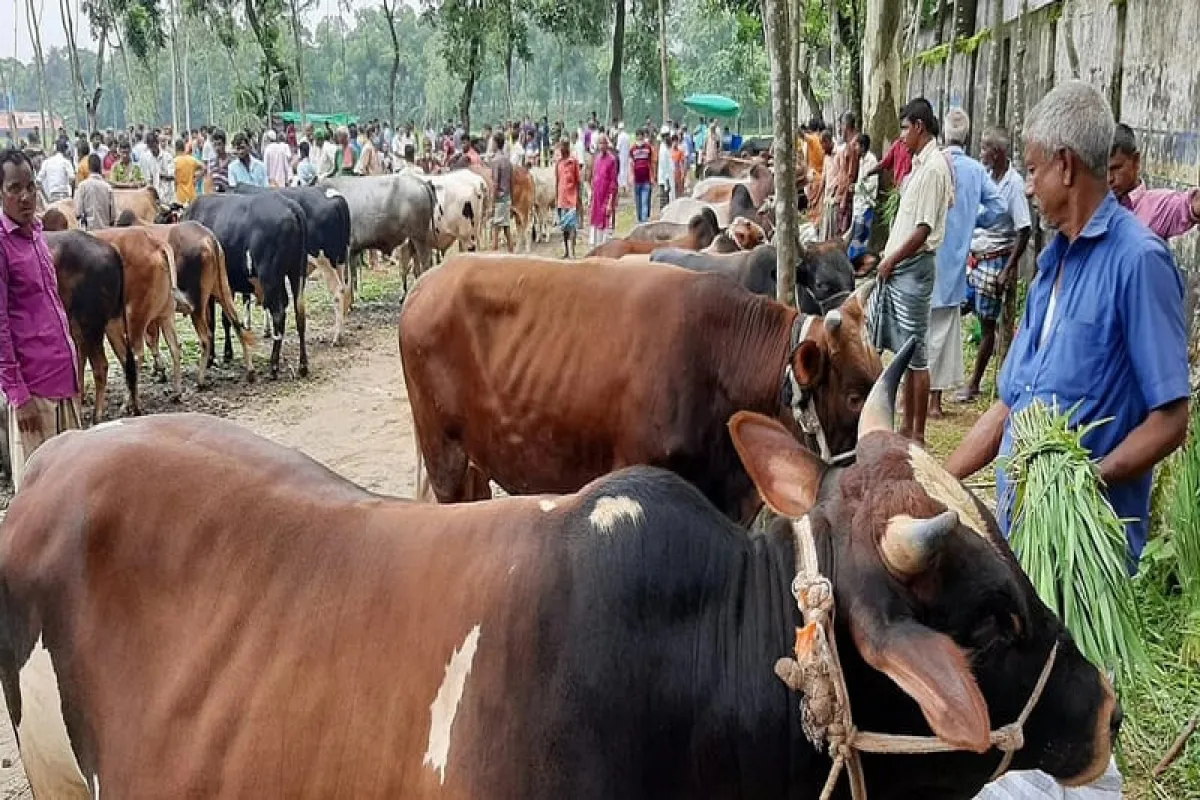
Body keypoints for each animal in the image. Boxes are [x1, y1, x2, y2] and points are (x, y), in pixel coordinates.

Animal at [92, 226, 184, 402]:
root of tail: (153, 242)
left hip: (134, 316)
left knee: (135, 356)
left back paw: (128, 402)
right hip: (165, 315)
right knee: (175, 348)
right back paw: (176, 392)